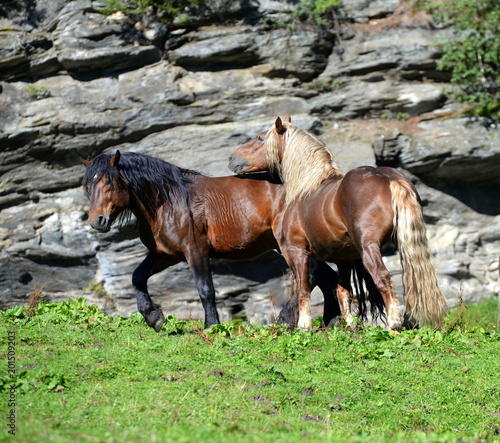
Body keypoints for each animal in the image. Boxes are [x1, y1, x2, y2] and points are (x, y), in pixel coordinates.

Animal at [83, 151, 348, 332]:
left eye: (109, 183)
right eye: (88, 187)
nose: (97, 221)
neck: (169, 202)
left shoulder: (195, 251)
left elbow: (205, 290)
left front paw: (212, 325)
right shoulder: (164, 256)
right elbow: (137, 277)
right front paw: (154, 318)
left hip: (288, 245)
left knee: (309, 277)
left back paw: (286, 320)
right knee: (325, 278)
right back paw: (330, 321)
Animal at [229, 116, 448, 332]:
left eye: (260, 138)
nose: (232, 159)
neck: (306, 187)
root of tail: (390, 179)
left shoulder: (298, 252)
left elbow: (303, 288)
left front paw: (304, 325)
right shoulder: (344, 259)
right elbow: (344, 291)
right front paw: (349, 326)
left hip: (369, 248)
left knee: (383, 278)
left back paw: (393, 325)